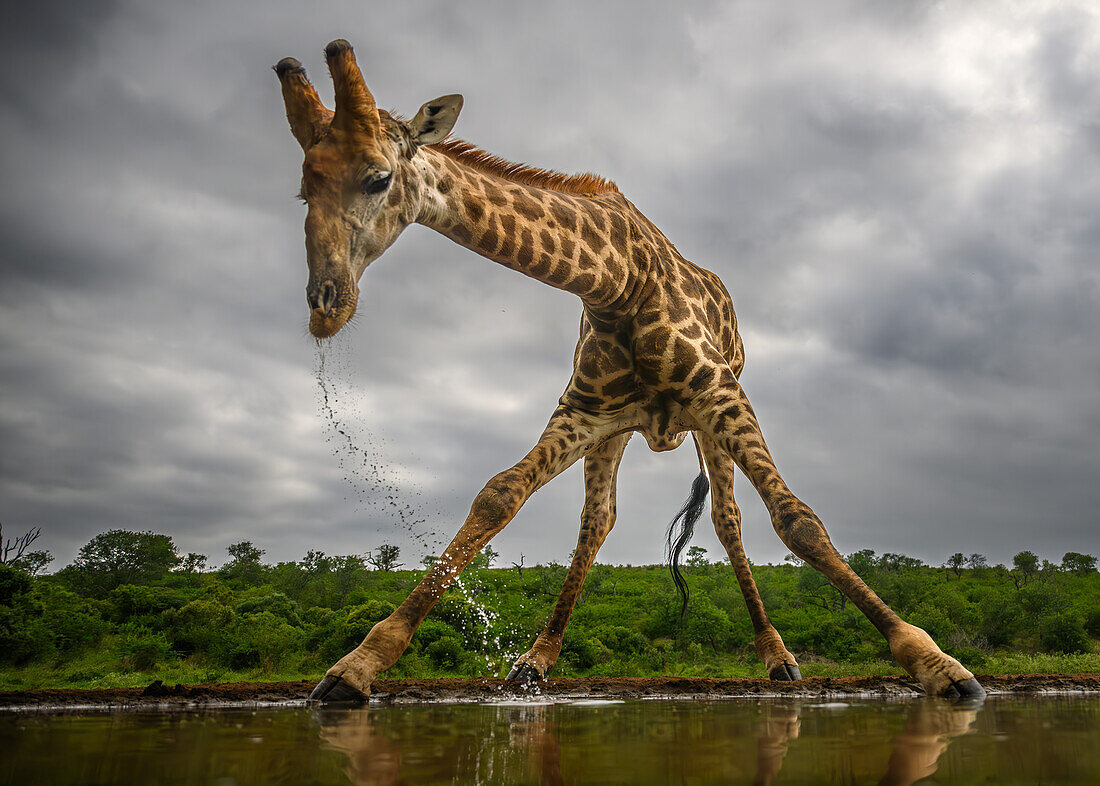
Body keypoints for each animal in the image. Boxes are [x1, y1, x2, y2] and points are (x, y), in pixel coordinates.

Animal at [275, 39, 990, 703]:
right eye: (302, 188)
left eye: (376, 178)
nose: (325, 305)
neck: (618, 280)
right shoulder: (585, 412)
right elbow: (499, 495)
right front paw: (357, 666)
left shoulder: (720, 395)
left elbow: (797, 519)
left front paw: (937, 663)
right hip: (616, 434)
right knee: (598, 522)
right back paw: (535, 662)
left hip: (711, 419)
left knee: (729, 521)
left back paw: (777, 658)